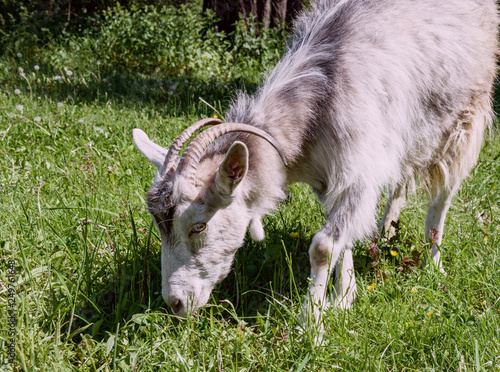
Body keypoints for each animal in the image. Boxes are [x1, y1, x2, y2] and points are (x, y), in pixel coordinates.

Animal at [132, 0, 496, 326]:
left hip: (463, 120)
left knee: (443, 195)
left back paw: (433, 264)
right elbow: (342, 237)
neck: (318, 101)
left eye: (199, 226)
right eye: (159, 226)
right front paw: (343, 299)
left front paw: (311, 324)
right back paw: (386, 231)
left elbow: (323, 247)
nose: (175, 304)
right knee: (401, 181)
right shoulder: (334, 176)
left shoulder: (357, 174)